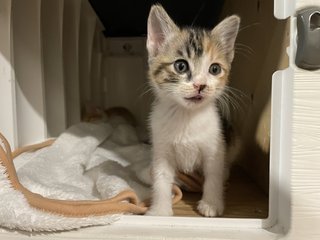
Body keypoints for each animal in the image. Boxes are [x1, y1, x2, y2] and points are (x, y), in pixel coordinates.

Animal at [146, 4, 239, 217]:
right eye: (181, 66)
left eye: (214, 69)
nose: (200, 85)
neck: (186, 116)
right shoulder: (162, 149)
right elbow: (161, 176)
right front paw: (160, 210)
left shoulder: (215, 146)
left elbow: (214, 174)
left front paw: (211, 204)